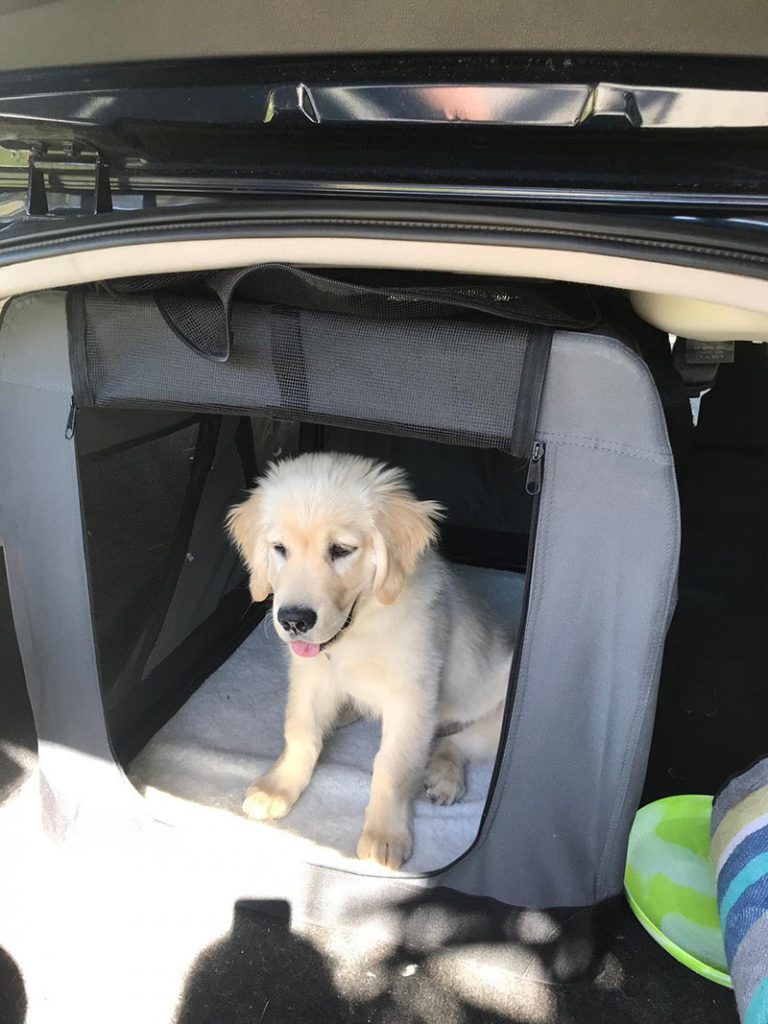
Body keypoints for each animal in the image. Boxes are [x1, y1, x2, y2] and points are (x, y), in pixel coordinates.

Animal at [228, 452, 518, 868]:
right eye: (280, 548)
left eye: (341, 550)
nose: (294, 620)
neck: (361, 625)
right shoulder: (310, 676)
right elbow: (300, 732)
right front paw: (279, 786)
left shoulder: (411, 695)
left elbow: (392, 765)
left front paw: (385, 833)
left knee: (454, 743)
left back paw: (444, 775)